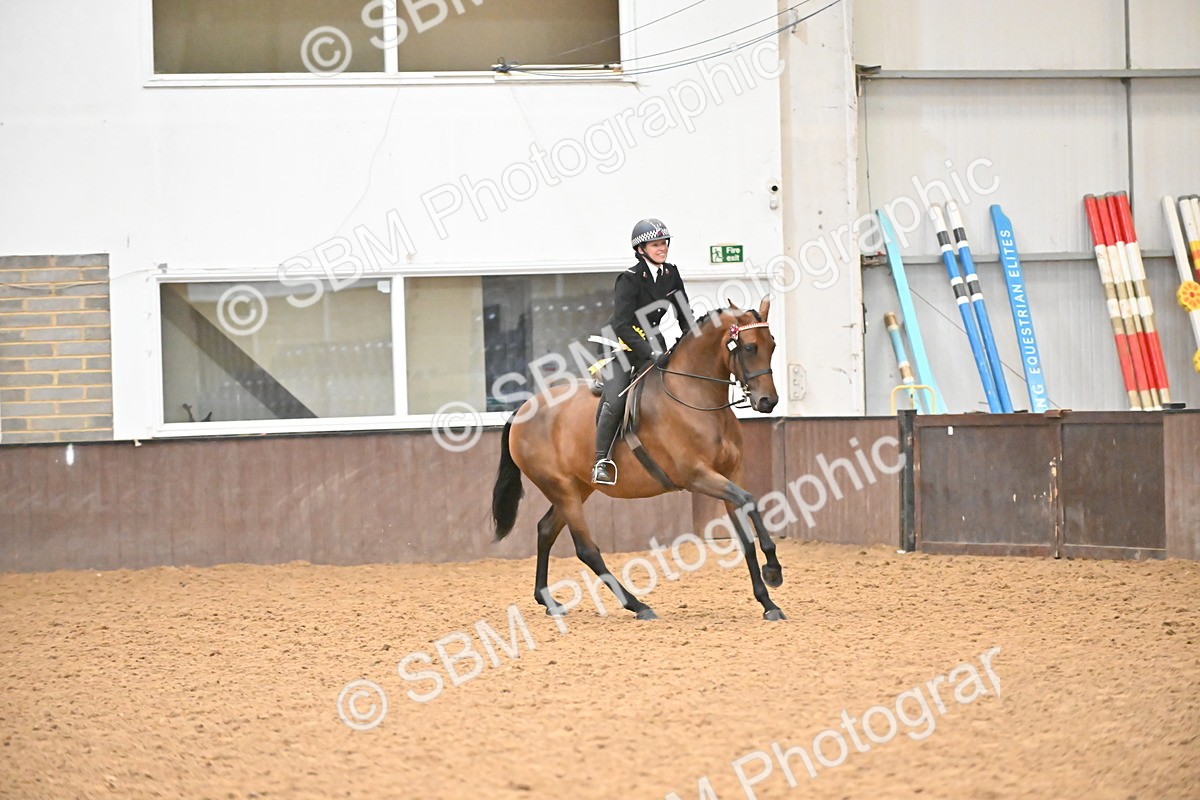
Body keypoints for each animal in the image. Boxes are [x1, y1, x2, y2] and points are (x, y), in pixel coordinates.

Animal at [490, 297, 786, 621]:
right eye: (749, 347)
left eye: (772, 344)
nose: (768, 401)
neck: (695, 397)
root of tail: (523, 409)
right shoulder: (697, 476)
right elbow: (749, 500)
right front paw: (773, 569)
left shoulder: (731, 473)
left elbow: (745, 531)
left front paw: (768, 602)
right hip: (561, 488)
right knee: (586, 550)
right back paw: (638, 605)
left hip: (577, 488)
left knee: (545, 530)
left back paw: (548, 601)